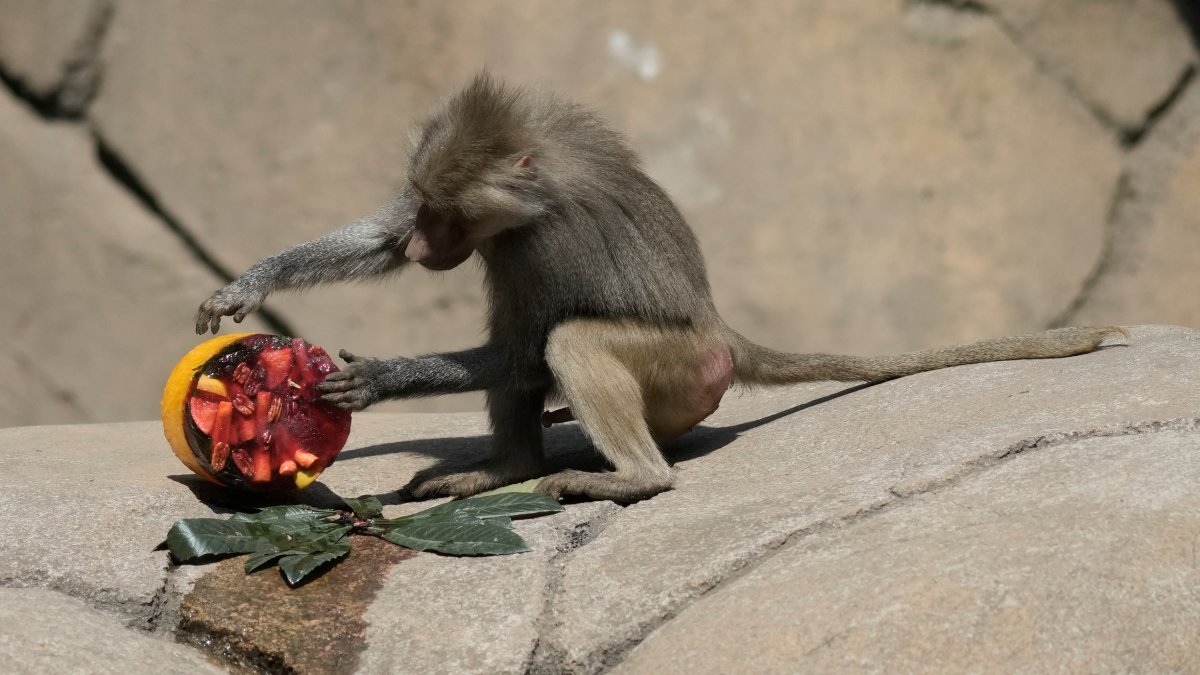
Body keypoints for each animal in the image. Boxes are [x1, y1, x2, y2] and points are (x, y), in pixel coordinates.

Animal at [196, 73, 1123, 502]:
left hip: (682, 369)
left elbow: (523, 347)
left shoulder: (548, 239)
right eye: (422, 205)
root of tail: (723, 329)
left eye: (446, 215)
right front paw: (248, 284)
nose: (425, 243)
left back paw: (625, 478)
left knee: (565, 340)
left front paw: (379, 378)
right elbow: (384, 251)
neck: (530, 184)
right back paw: (507, 468)